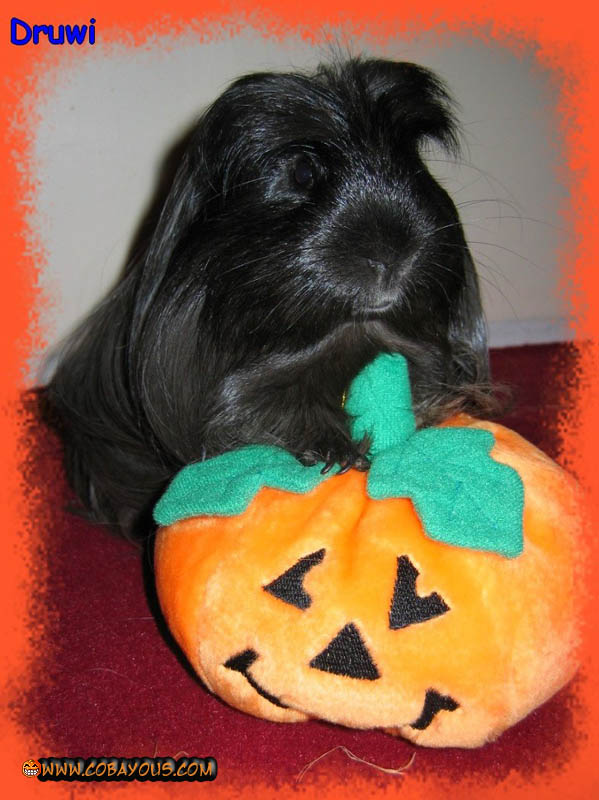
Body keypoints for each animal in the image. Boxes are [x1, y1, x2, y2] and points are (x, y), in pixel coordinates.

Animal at [43, 56, 500, 539]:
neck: (344, 337)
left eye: (411, 161)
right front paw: (342, 454)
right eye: (303, 171)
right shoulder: (241, 396)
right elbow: (263, 409)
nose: (391, 255)